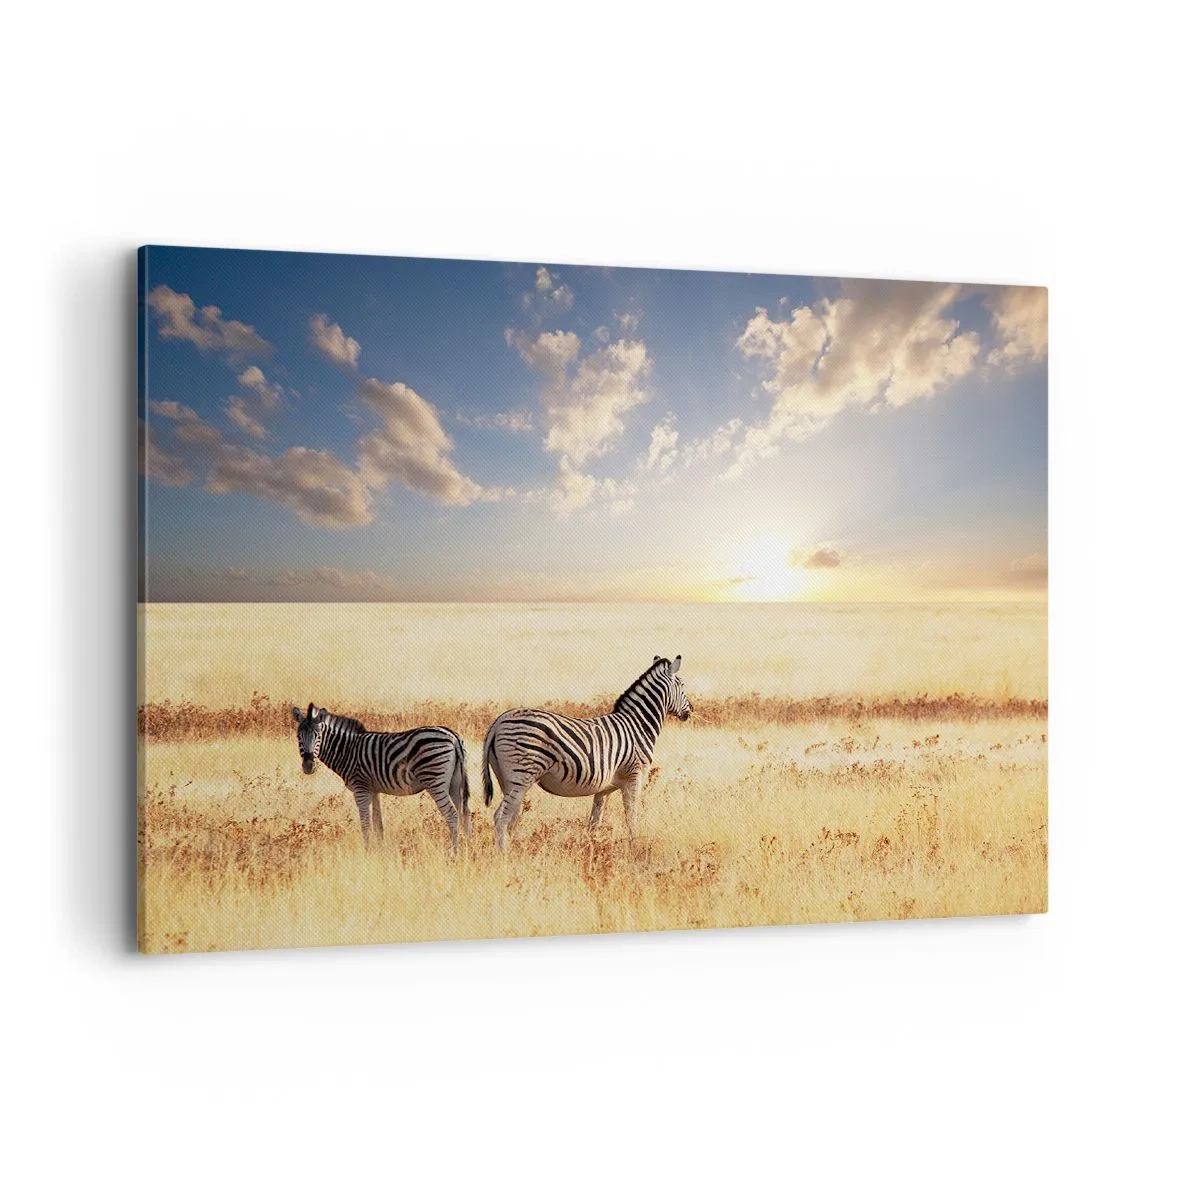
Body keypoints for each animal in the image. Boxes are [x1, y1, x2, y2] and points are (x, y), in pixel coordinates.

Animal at [290, 703, 471, 852]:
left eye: (318, 735)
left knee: (452, 815)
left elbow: (365, 824)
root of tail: (453, 736)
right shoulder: (374, 790)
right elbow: (378, 825)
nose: (308, 766)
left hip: (435, 780)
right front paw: (380, 851)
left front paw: (367, 852)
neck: (346, 750)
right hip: (455, 783)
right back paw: (470, 849)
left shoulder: (360, 788)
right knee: (465, 813)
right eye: (299, 736)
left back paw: (454, 852)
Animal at [481, 655, 692, 850]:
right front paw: (634, 847)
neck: (637, 725)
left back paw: (519, 849)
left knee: (512, 818)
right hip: (521, 775)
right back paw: (504, 854)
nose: (690, 711)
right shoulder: (634, 775)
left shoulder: (604, 788)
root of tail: (499, 720)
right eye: (682, 685)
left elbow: (594, 822)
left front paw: (592, 848)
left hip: (507, 779)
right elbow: (631, 816)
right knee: (501, 817)